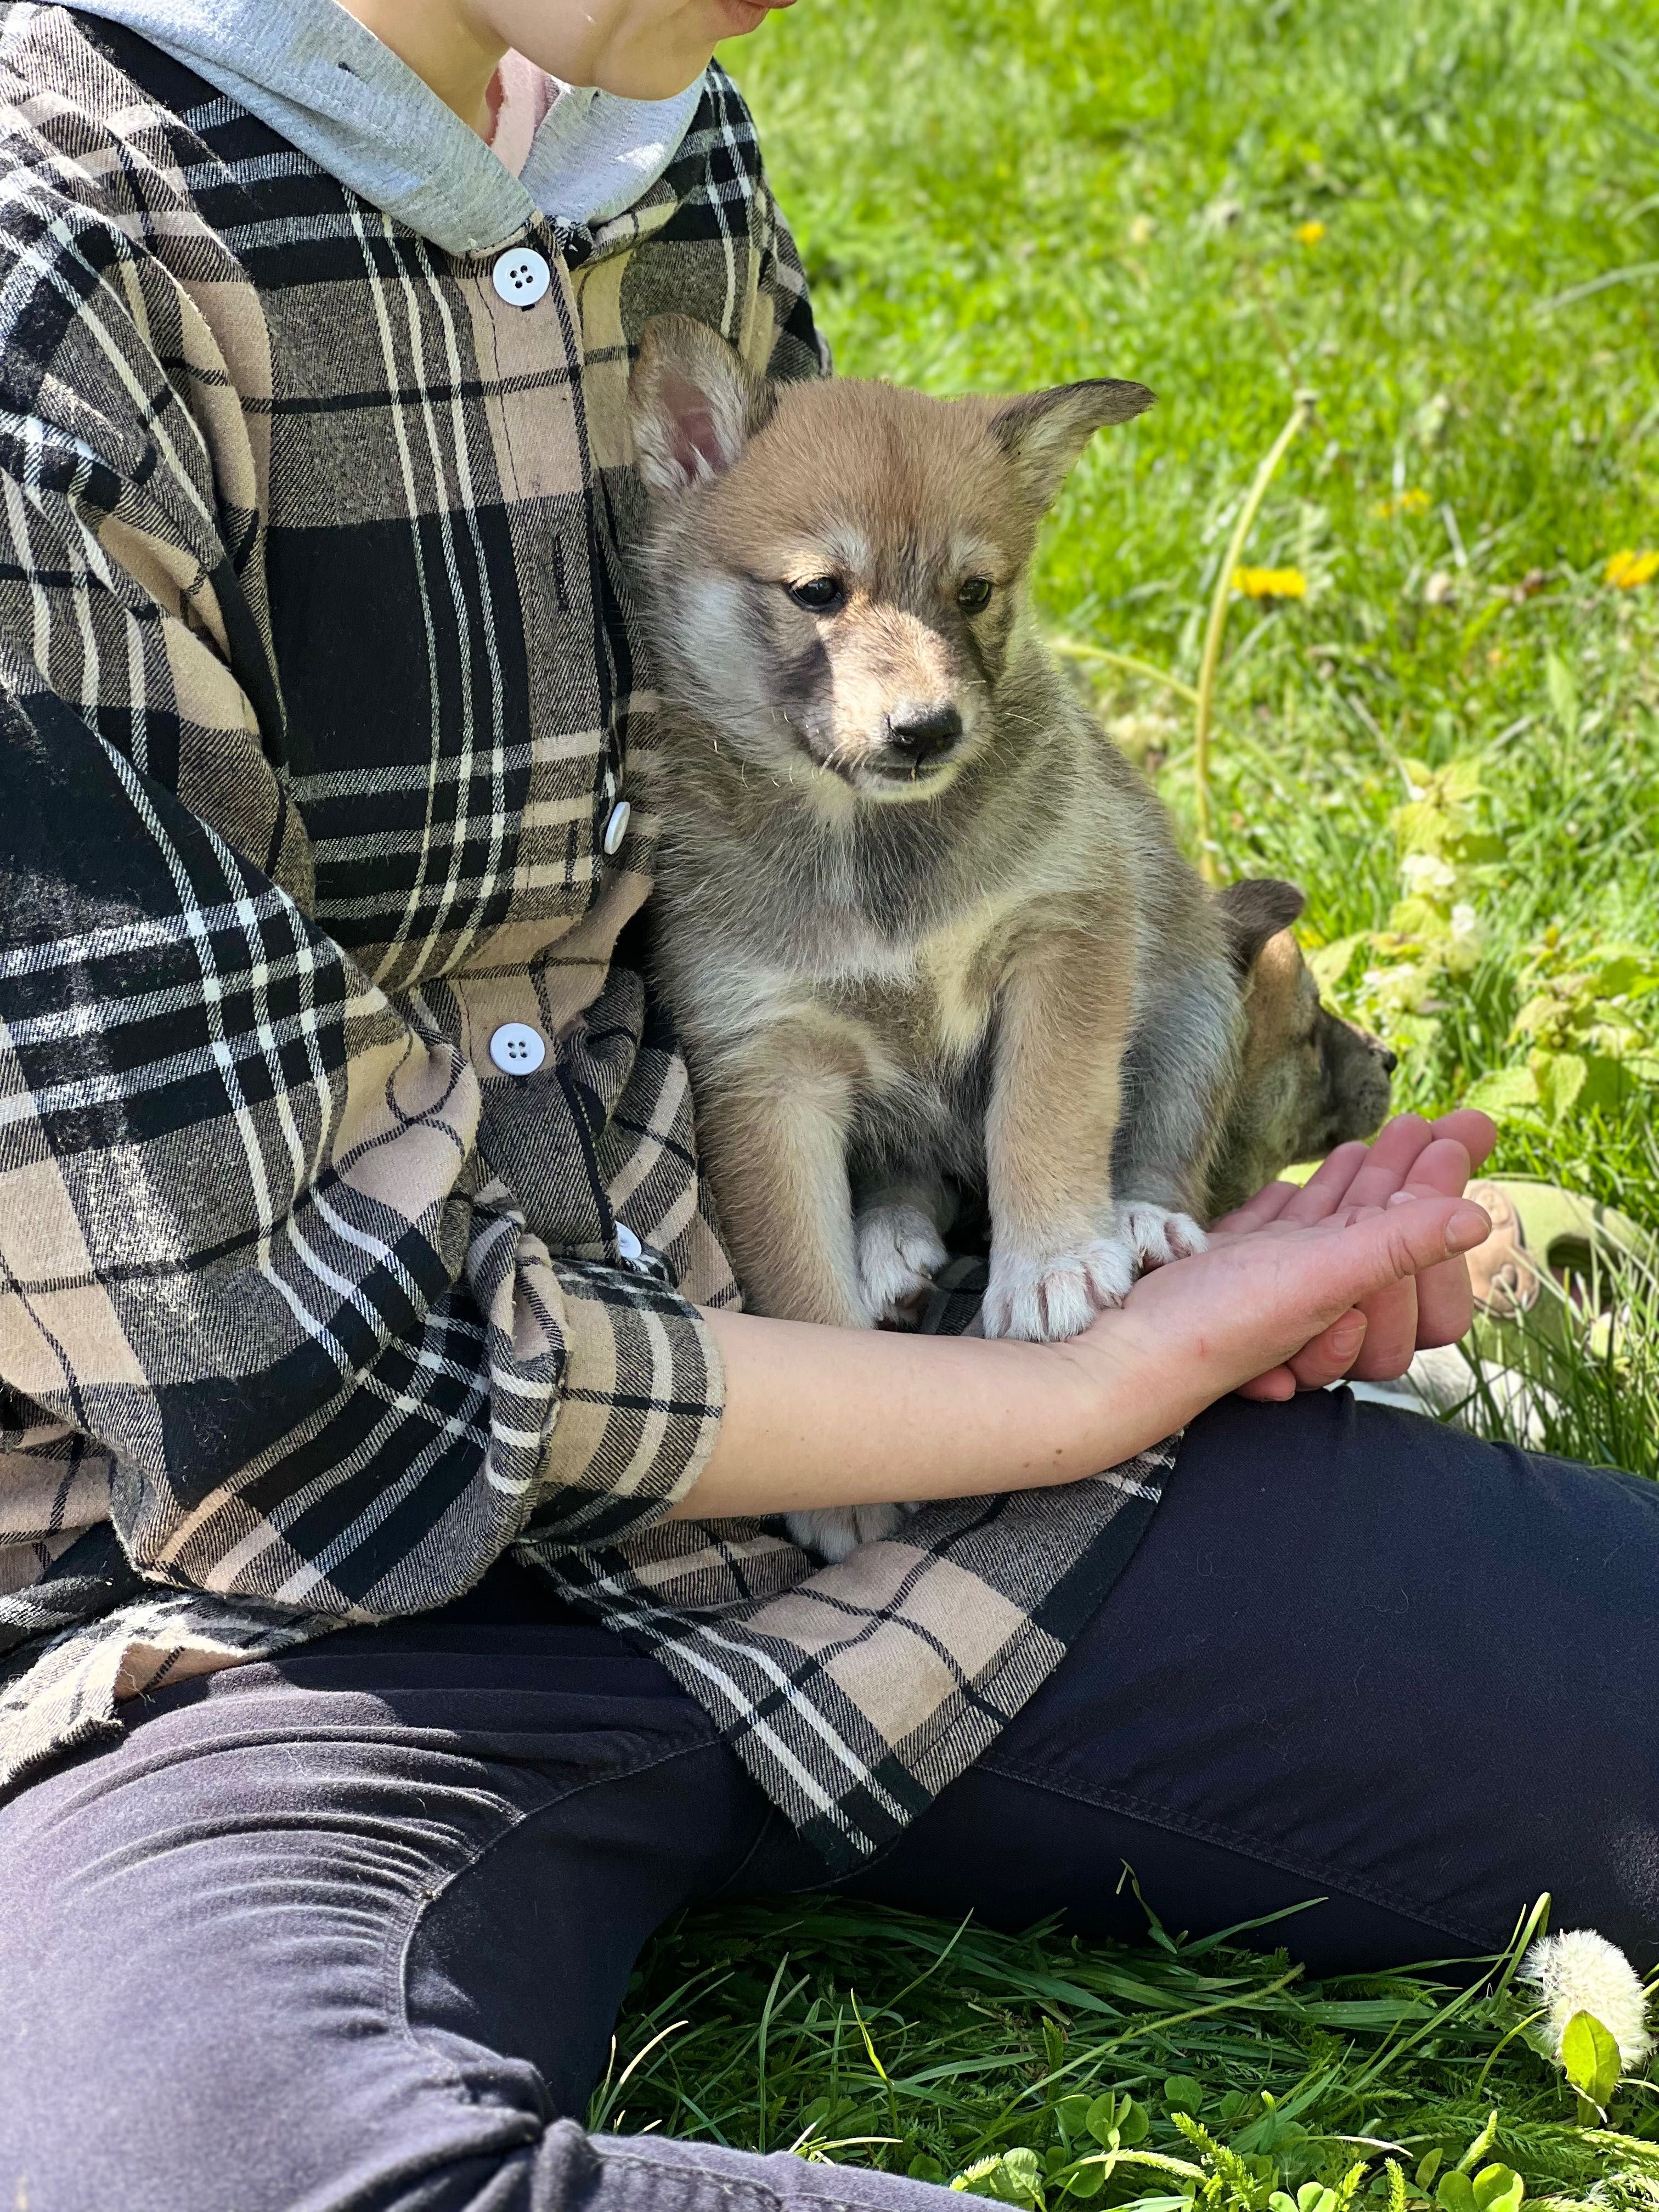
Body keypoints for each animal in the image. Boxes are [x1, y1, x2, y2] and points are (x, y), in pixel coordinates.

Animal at [628, 320, 1238, 1566]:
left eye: (974, 590)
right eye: (818, 590)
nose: (927, 730)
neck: (874, 850)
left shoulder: (1067, 933)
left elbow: (1045, 1115)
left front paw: (1051, 1264)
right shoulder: (766, 1065)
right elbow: (792, 1264)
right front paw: (836, 1475)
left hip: (1199, 1011)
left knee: (1159, 1136)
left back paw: (1139, 1219)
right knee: (903, 1175)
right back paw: (889, 1248)